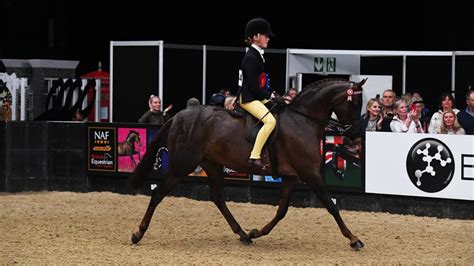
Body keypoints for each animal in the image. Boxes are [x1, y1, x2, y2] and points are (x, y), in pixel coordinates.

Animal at [130, 78, 366, 250]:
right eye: (354, 103)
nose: (355, 134)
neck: (303, 121)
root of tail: (177, 117)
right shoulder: (309, 173)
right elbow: (331, 205)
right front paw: (353, 239)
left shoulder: (291, 176)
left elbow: (281, 211)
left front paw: (256, 232)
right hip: (182, 164)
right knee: (158, 193)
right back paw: (138, 233)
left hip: (212, 164)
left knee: (217, 197)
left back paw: (243, 235)